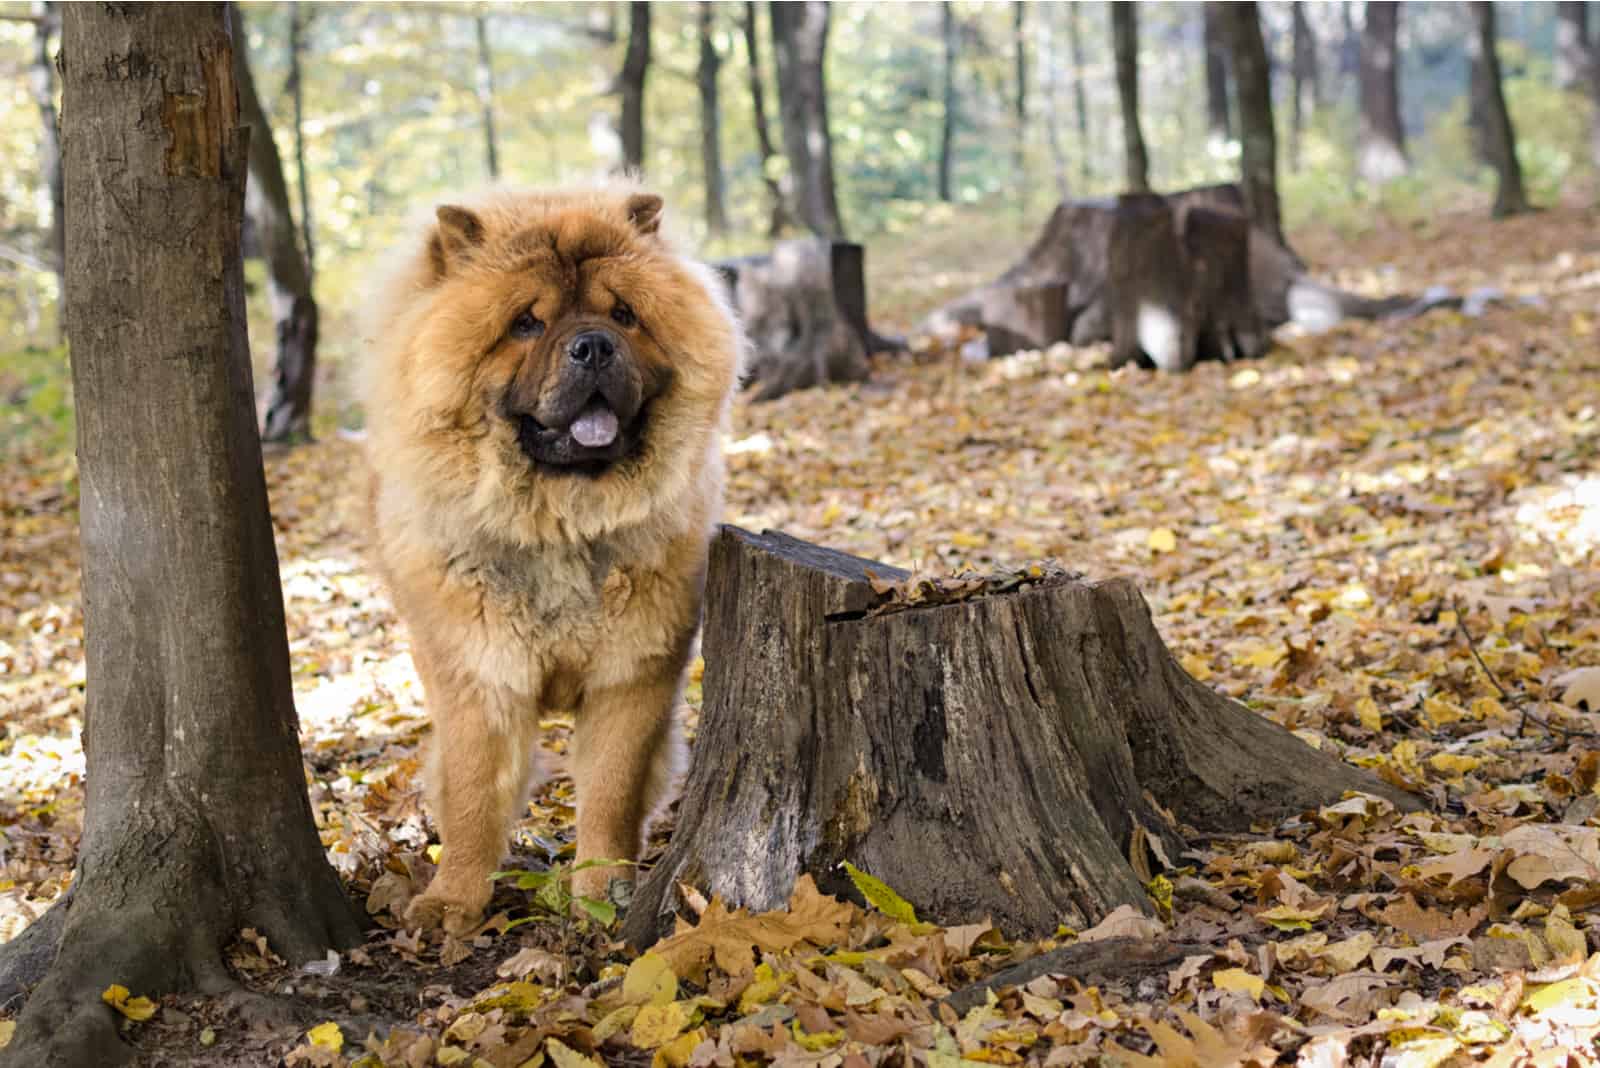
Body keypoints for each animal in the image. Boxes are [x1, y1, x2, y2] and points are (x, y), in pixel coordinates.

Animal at [361, 185, 736, 933]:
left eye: (624, 315)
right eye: (526, 325)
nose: (593, 346)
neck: (561, 526)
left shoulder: (632, 676)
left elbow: (611, 792)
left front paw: (600, 893)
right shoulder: (478, 675)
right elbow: (473, 795)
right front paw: (452, 902)